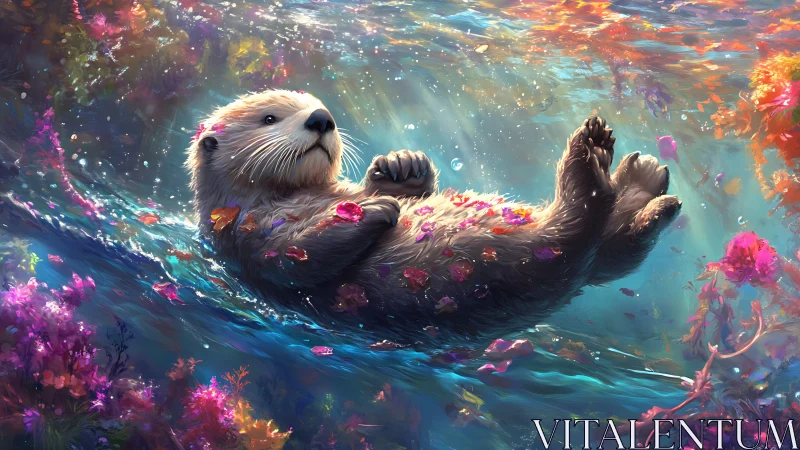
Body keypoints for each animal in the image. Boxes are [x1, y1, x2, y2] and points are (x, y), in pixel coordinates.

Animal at [186, 90, 680, 335]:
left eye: (315, 108)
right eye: (270, 118)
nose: (321, 118)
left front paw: (401, 168)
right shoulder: (248, 235)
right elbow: (297, 257)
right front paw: (372, 208)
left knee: (615, 245)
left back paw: (646, 180)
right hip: (542, 255)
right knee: (591, 213)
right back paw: (594, 154)